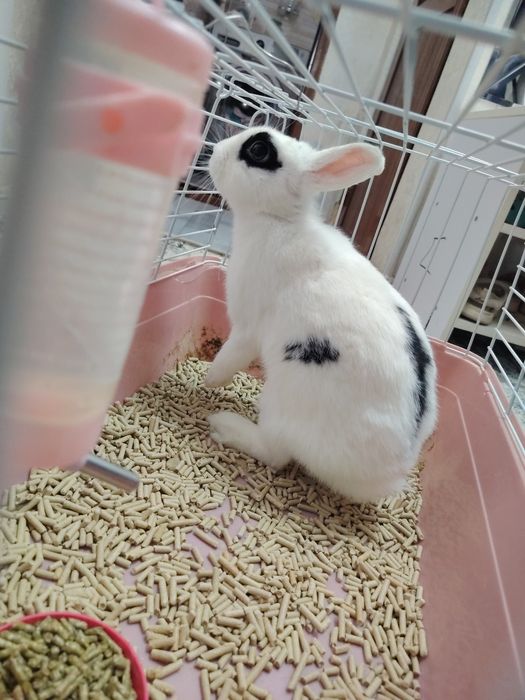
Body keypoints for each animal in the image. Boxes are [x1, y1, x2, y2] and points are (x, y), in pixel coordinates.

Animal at [206, 127, 437, 503]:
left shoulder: (247, 327)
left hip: (282, 402)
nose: (214, 151)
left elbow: (231, 355)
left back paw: (225, 425)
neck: (278, 220)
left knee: (274, 453)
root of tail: (387, 479)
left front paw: (209, 379)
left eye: (258, 150)